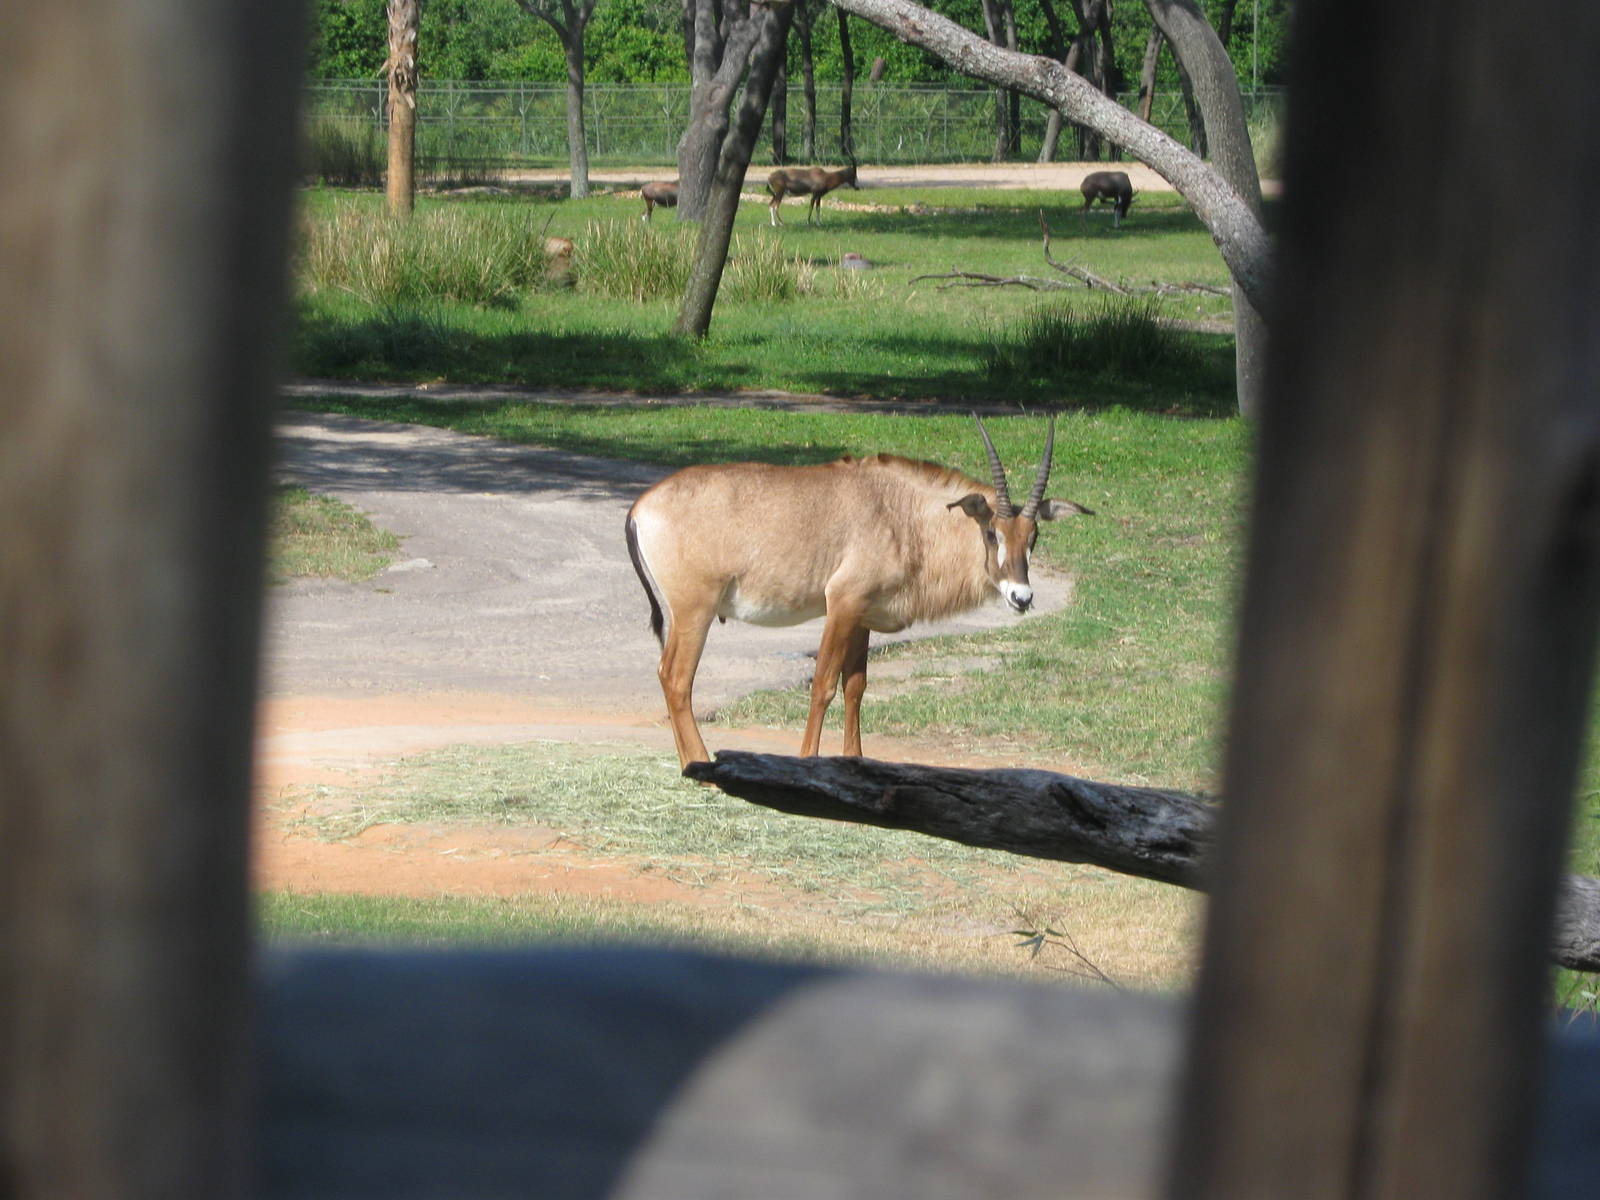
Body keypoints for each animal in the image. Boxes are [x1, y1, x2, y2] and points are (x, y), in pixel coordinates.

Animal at [625, 417, 1094, 768]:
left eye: (1033, 536)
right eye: (992, 533)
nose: (1021, 597)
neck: (904, 515)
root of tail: (641, 506)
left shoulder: (864, 615)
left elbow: (856, 687)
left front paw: (854, 759)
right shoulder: (842, 605)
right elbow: (823, 686)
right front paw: (807, 759)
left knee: (670, 677)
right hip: (695, 610)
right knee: (677, 679)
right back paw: (698, 766)